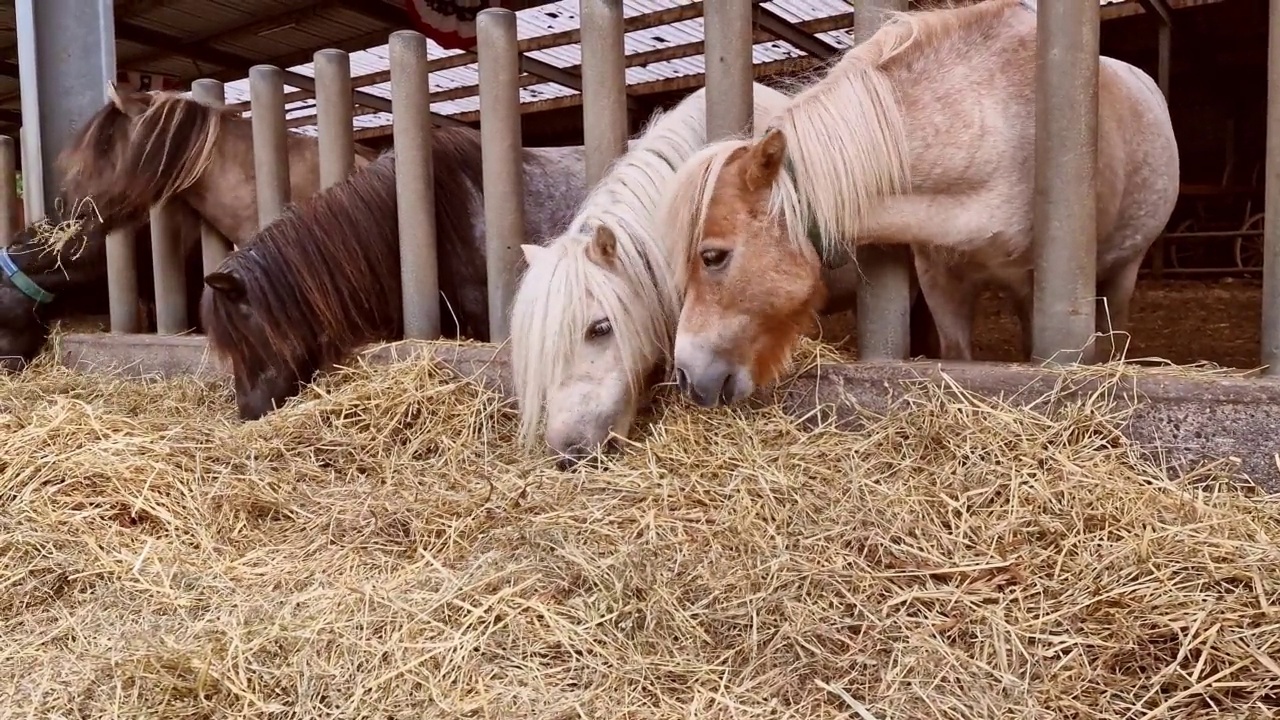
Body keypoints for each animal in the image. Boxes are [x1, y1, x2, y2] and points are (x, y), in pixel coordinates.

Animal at [665, 0, 1172, 404]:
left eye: (713, 257)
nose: (687, 376)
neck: (992, 129)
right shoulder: (940, 283)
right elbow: (957, 357)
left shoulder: (1035, 290)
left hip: (1123, 271)